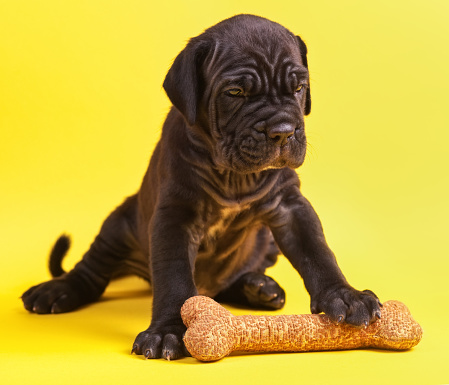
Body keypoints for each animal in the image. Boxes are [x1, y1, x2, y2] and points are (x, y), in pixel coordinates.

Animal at [21, 13, 378, 358]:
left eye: (299, 87)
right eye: (235, 93)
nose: (283, 131)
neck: (234, 175)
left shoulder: (290, 206)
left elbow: (317, 251)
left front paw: (345, 295)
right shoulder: (174, 217)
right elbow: (175, 278)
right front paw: (168, 331)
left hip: (265, 244)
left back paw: (257, 288)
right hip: (119, 225)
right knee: (91, 269)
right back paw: (58, 289)